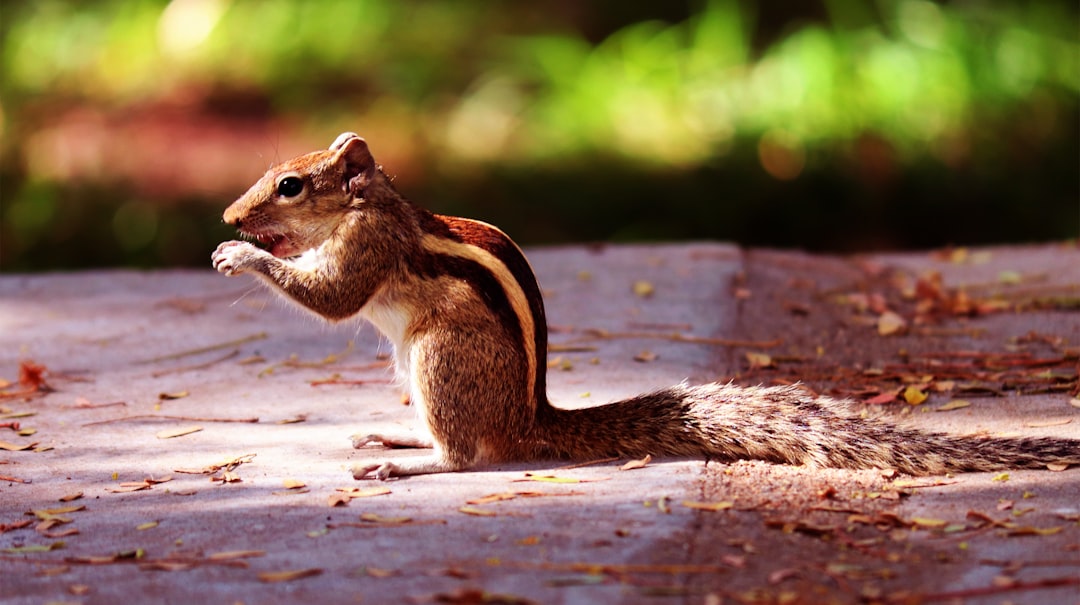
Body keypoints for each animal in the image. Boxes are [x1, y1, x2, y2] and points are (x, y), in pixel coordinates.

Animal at [210, 133, 1080, 481]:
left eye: (291, 185)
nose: (229, 215)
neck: (373, 203)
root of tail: (531, 416)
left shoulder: (369, 246)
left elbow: (332, 297)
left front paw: (241, 255)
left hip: (436, 355)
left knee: (467, 454)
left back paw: (406, 461)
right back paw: (397, 432)